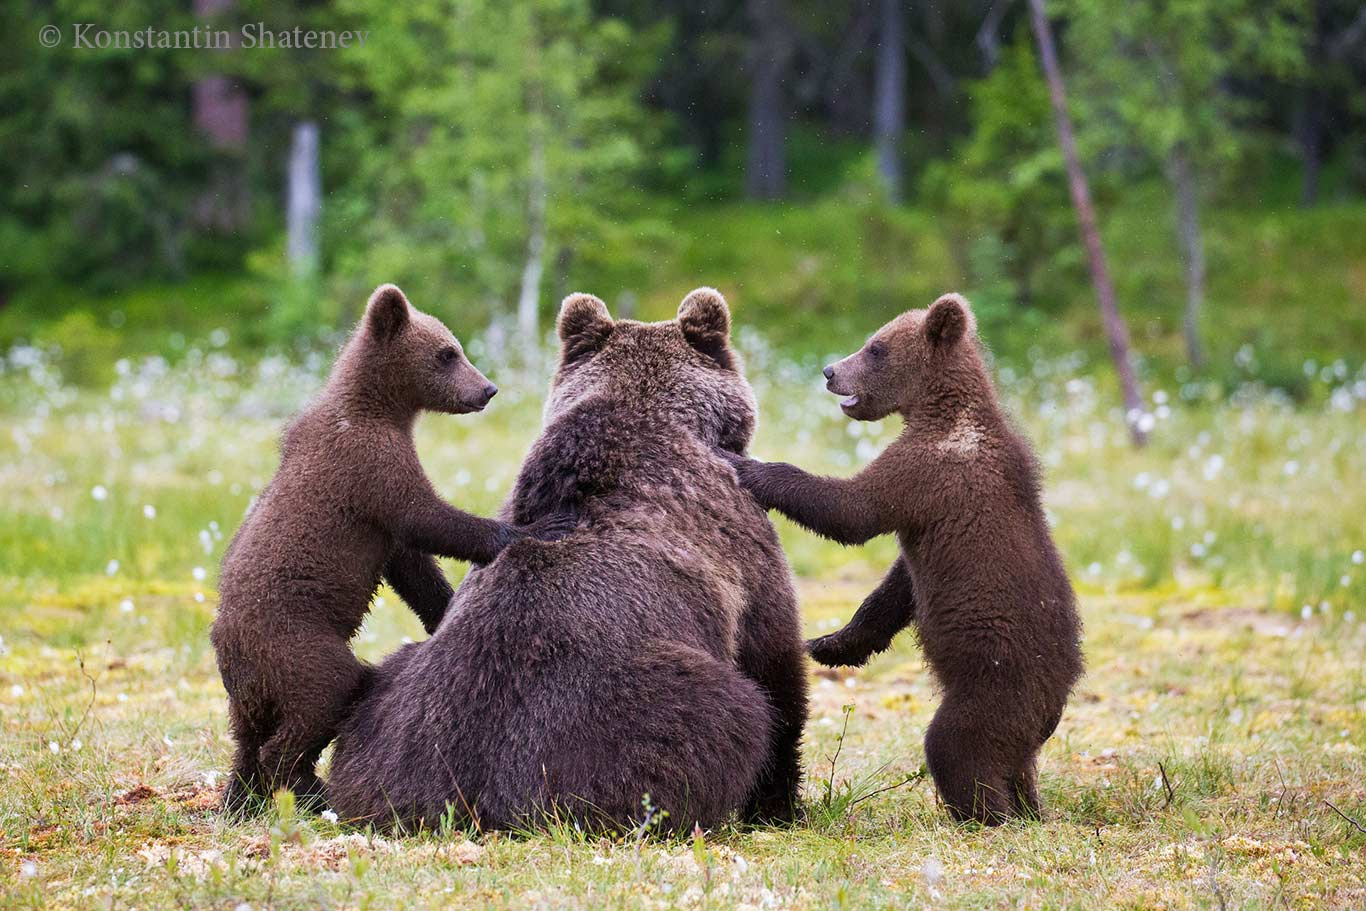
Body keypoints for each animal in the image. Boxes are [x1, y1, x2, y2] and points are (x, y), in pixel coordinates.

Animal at [323, 290, 803, 835]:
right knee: (722, 716)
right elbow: (774, 661)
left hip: (390, 717)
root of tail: (471, 802)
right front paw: (781, 804)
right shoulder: (740, 543)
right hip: (614, 718)